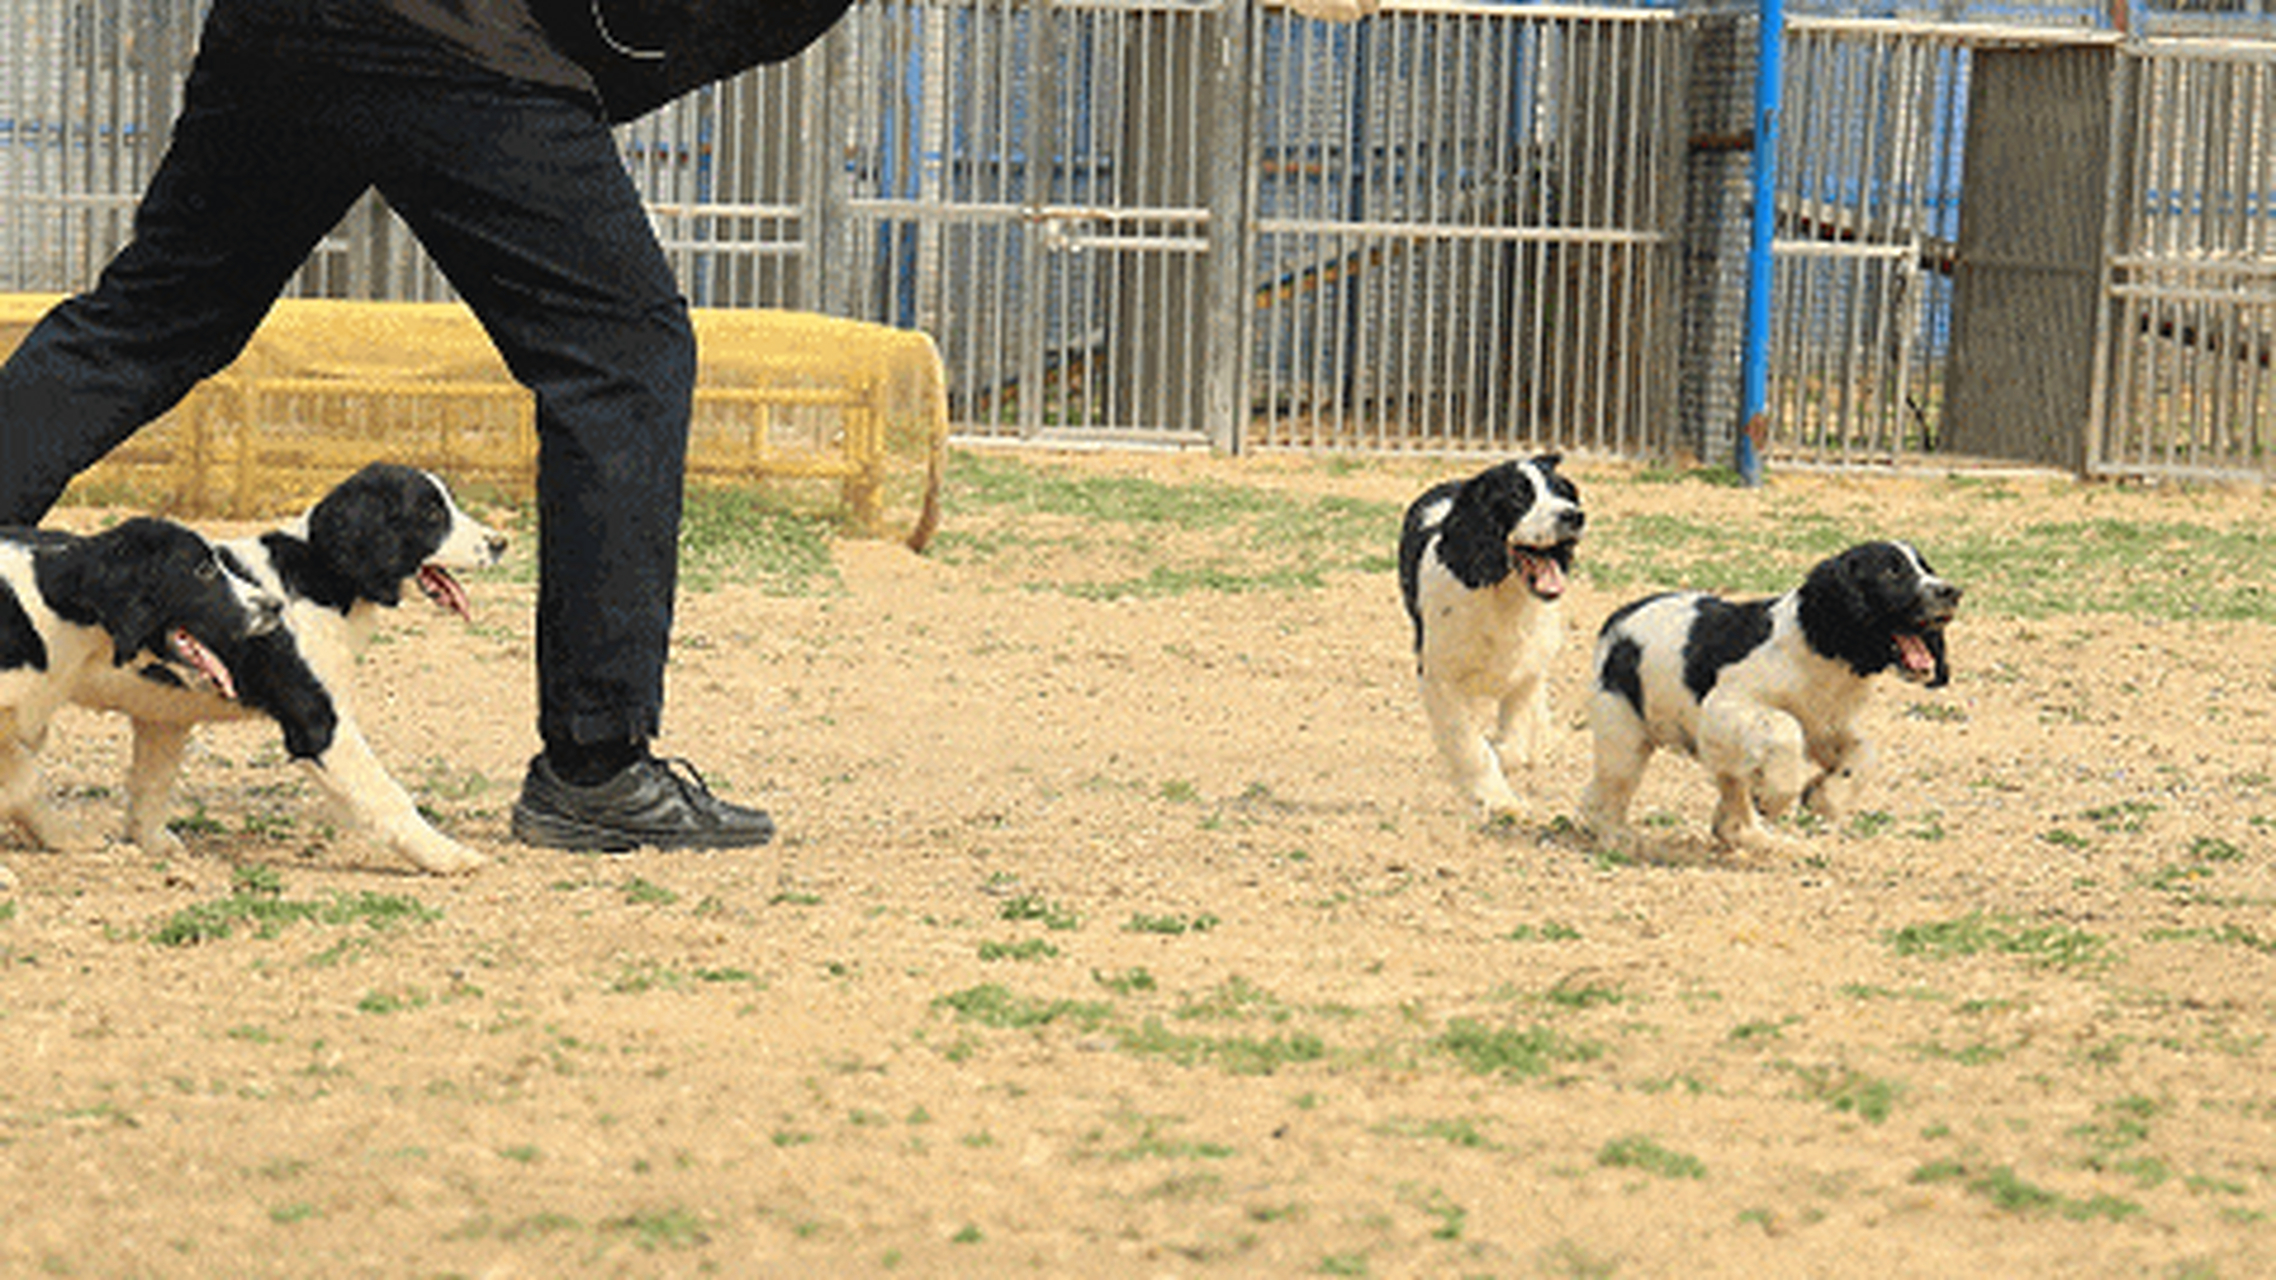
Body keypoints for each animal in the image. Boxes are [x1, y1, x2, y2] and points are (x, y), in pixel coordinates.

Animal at [1, 519, 284, 874]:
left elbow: (23, 777)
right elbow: (25, 778)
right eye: (204, 570)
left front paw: (64, 836)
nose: (276, 605)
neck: (57, 610)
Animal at [69, 462, 507, 870]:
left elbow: (152, 781)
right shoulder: (318, 721)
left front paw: (151, 844)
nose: (501, 543)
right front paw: (448, 856)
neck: (316, 572)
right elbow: (385, 792)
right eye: (431, 514)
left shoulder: (164, 714)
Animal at [1383, 453, 1584, 810]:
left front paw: (1509, 754)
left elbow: (1513, 742)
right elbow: (1470, 745)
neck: (1503, 598)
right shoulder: (1438, 677)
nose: (1574, 515)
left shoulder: (1526, 672)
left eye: (1563, 492)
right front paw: (1499, 799)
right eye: (1518, 497)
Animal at [1584, 537, 1957, 856]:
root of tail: (1618, 617)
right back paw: (1617, 839)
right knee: (1610, 792)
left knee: (1729, 820)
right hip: (1625, 735)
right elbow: (1784, 725)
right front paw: (1775, 795)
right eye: (1892, 571)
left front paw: (1826, 798)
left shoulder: (1825, 725)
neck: (1818, 649)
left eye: (1926, 567)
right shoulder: (1722, 706)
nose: (1952, 591)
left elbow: (1865, 752)